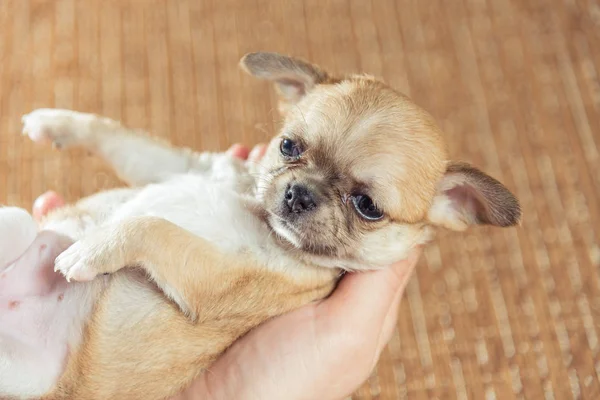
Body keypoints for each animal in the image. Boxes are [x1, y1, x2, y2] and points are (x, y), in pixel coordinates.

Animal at [0, 52, 516, 400]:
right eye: (289, 146)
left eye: (367, 205)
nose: (300, 193)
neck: (254, 214)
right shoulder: (177, 165)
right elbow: (118, 137)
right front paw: (57, 122)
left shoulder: (217, 281)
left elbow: (152, 227)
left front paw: (93, 249)